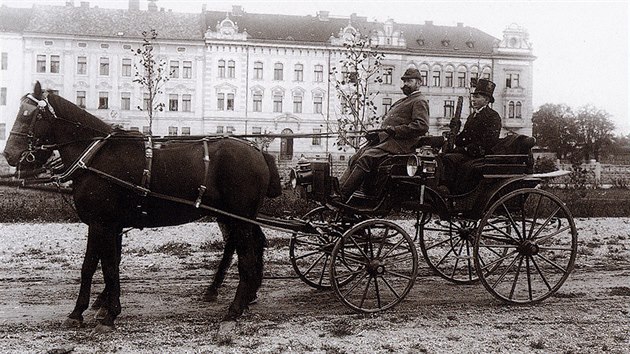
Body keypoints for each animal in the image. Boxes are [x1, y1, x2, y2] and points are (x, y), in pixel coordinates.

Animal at [3, 82, 282, 332]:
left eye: (31, 115)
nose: (9, 154)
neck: (95, 156)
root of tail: (258, 152)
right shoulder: (108, 224)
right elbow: (98, 266)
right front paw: (84, 311)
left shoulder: (102, 223)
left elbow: (103, 267)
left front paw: (107, 314)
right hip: (238, 217)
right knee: (250, 246)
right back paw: (242, 297)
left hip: (239, 218)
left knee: (246, 257)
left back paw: (234, 309)